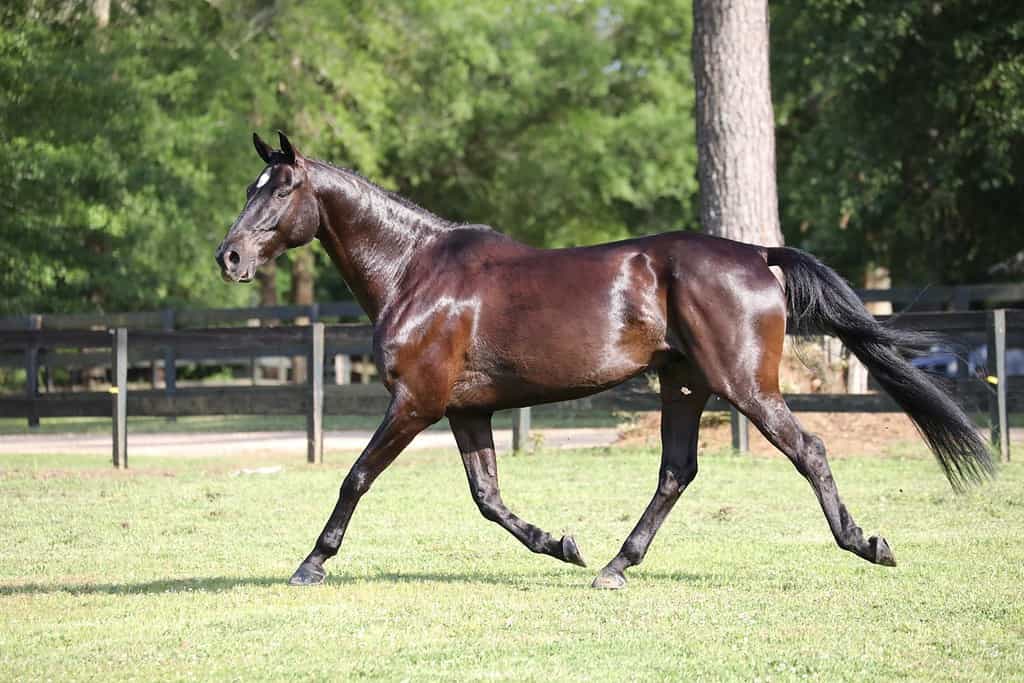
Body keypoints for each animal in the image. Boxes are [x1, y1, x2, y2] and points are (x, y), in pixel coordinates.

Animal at [216, 132, 991, 589]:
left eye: (282, 189)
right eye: (251, 188)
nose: (229, 257)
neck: (416, 270)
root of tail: (756, 255)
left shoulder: (416, 403)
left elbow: (355, 476)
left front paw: (311, 563)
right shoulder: (467, 410)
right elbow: (488, 498)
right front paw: (562, 543)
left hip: (745, 386)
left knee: (810, 449)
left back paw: (867, 543)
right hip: (684, 385)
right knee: (677, 471)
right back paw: (616, 565)